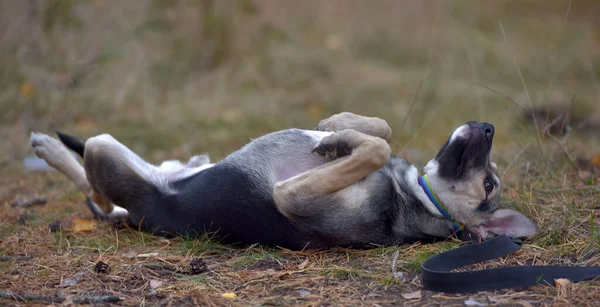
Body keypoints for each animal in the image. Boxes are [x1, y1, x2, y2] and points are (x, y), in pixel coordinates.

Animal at [29, 112, 540, 250]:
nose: (489, 127)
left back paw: (48, 147)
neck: (413, 197)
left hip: (108, 152)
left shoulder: (291, 195)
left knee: (93, 186)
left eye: (489, 185)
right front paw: (337, 127)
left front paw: (341, 138)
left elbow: (376, 147)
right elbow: (382, 132)